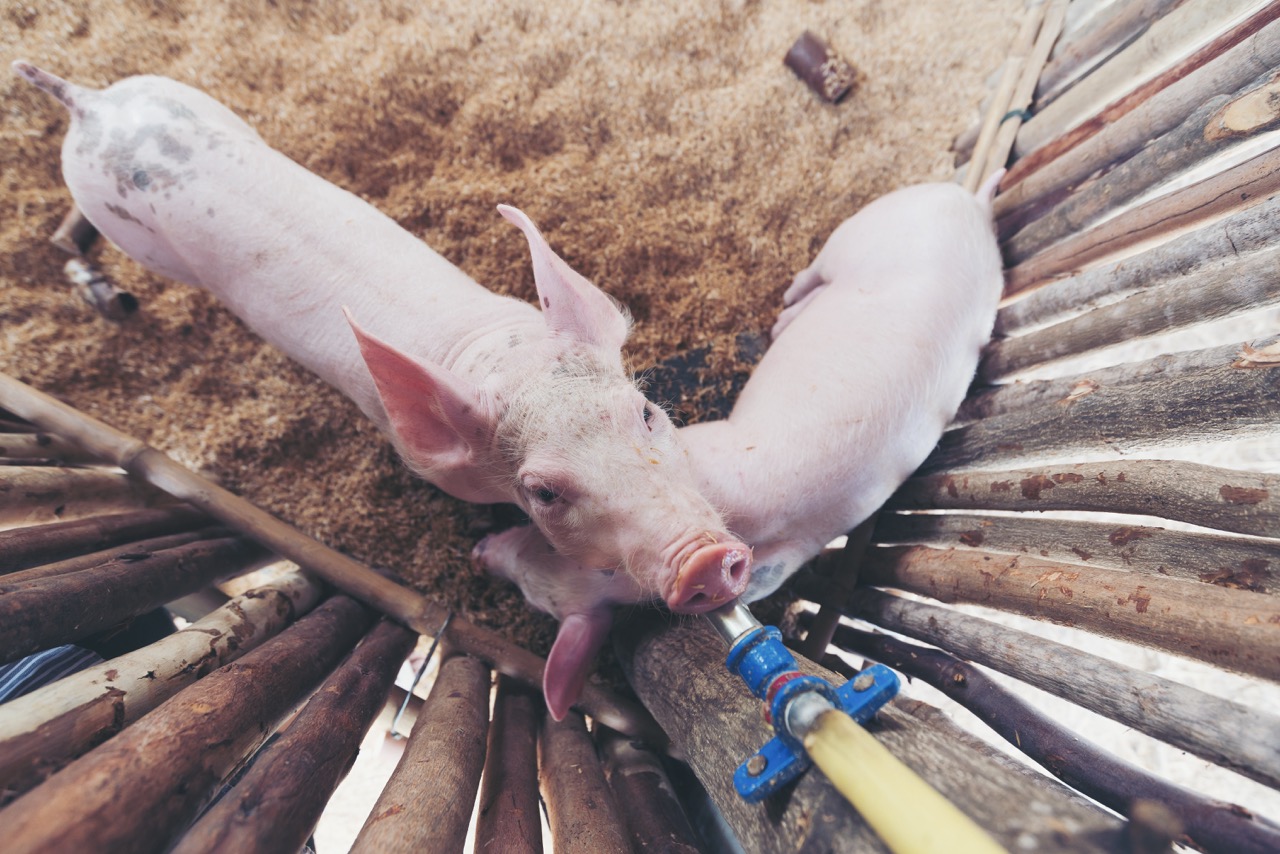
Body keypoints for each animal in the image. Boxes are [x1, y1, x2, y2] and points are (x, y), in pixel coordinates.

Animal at [15, 61, 752, 701]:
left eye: (648, 411)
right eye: (543, 492)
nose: (705, 560)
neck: (499, 359)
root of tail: (91, 104)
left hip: (191, 101)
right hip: (118, 219)